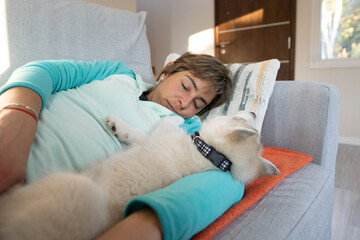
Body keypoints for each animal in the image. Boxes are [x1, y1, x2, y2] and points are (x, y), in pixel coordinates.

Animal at [0, 111, 280, 239]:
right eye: (244, 118)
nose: (254, 112)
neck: (207, 153)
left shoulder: (152, 140)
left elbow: (155, 127)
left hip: (70, 186)